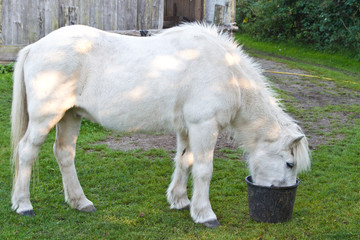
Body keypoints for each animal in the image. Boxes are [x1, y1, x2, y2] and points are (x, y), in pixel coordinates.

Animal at [10, 23, 310, 228]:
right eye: (289, 163)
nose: (283, 197)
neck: (227, 73)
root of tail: (35, 46)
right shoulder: (204, 126)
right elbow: (204, 170)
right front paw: (205, 214)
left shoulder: (187, 128)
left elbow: (185, 161)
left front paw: (180, 201)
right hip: (46, 117)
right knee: (26, 152)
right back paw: (23, 205)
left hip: (70, 116)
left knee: (64, 153)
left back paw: (80, 202)